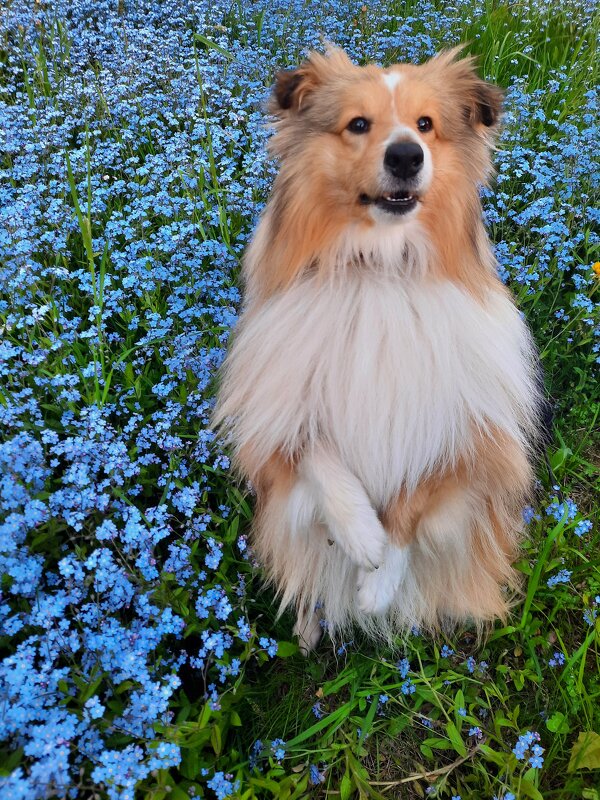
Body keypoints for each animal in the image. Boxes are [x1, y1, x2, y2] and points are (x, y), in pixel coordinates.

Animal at [216, 47, 544, 652]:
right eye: (358, 124)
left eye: (426, 125)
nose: (407, 156)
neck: (380, 268)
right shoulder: (283, 411)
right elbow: (320, 456)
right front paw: (361, 536)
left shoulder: (466, 434)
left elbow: (413, 499)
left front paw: (379, 580)